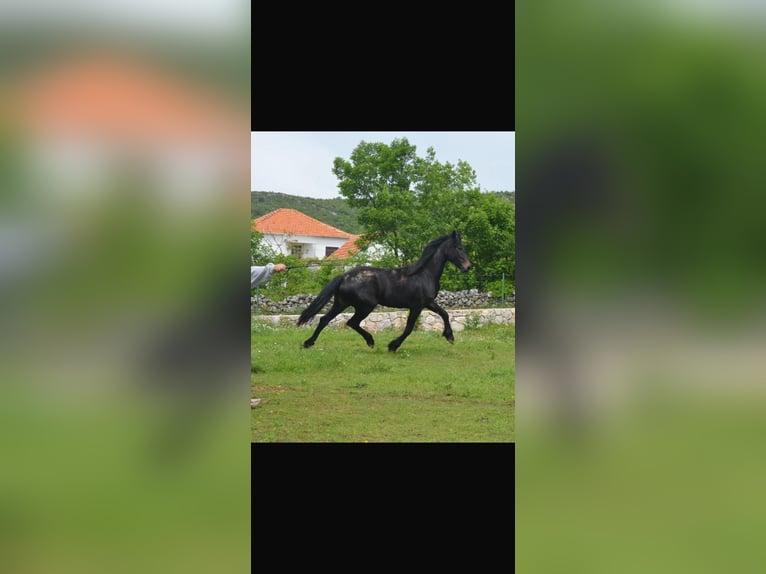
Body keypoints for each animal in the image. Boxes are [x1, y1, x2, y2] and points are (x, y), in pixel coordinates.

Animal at [297, 231, 472, 352]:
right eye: (459, 248)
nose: (468, 267)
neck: (424, 273)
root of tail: (344, 276)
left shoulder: (428, 303)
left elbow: (445, 314)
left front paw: (449, 336)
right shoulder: (417, 305)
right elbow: (409, 327)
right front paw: (393, 346)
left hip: (341, 303)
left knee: (324, 320)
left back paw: (308, 343)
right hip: (365, 306)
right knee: (351, 322)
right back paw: (370, 341)